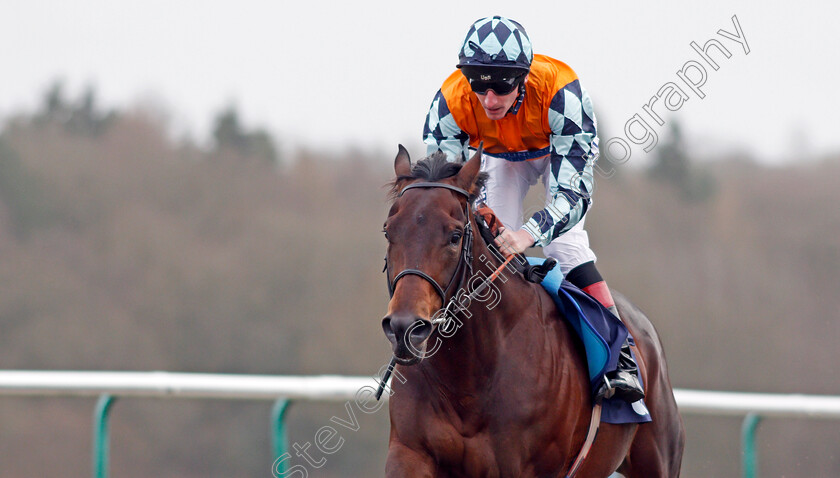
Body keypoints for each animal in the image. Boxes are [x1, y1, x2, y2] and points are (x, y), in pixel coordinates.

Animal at [380, 147, 684, 478]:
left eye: (455, 235)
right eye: (388, 232)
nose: (404, 328)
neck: (468, 379)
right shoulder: (409, 453)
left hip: (657, 459)